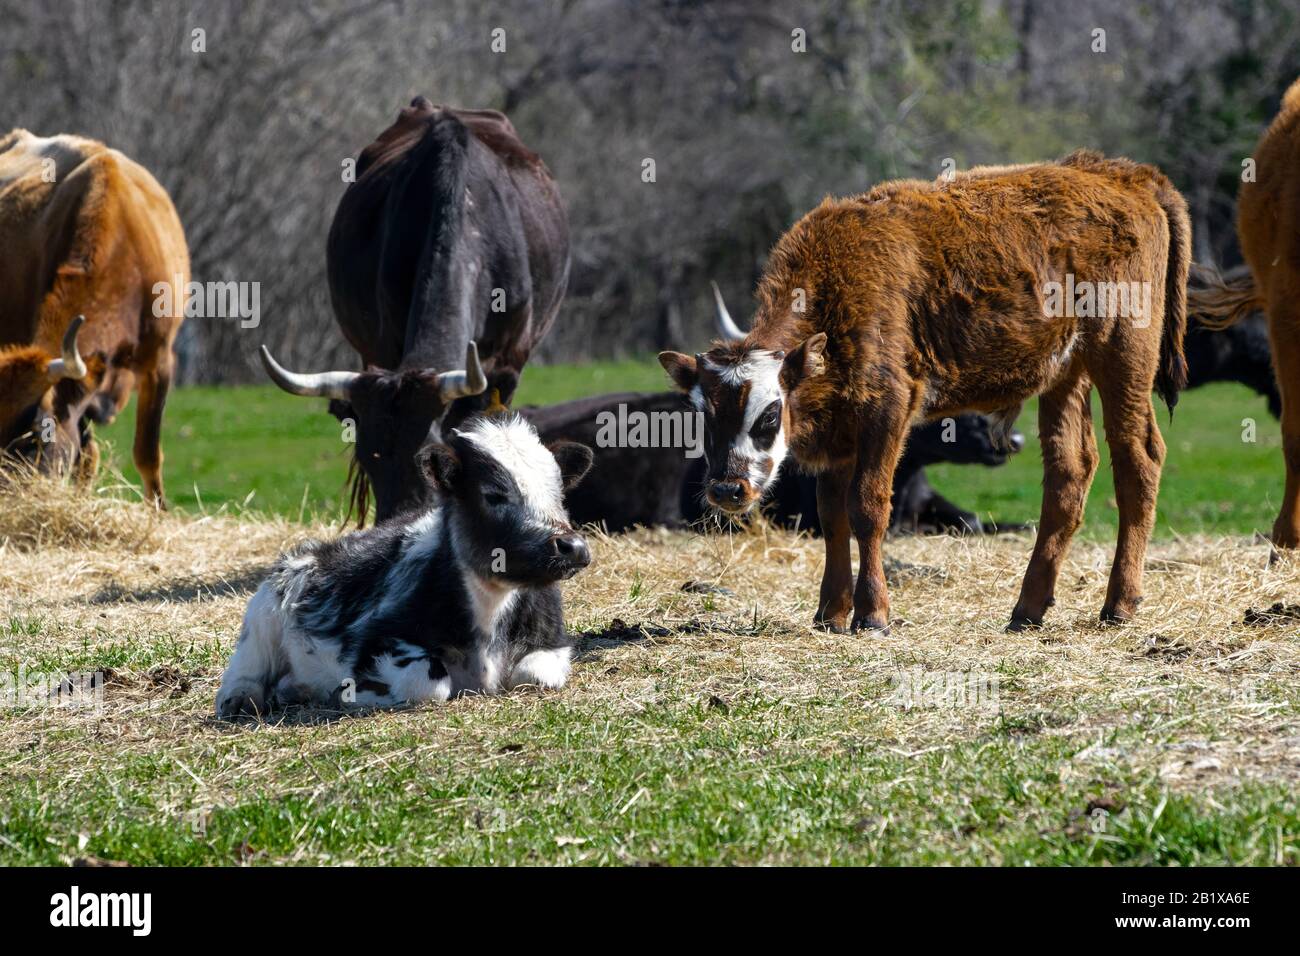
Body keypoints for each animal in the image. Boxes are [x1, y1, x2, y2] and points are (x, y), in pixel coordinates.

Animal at [216, 414, 594, 717]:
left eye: (559, 494)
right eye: (493, 495)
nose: (572, 547)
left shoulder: (554, 640)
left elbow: (533, 676)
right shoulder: (372, 643)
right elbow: (428, 682)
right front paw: (353, 693)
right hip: (264, 612)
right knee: (243, 671)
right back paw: (242, 698)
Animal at [659, 150, 1190, 634]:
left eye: (769, 414)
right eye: (703, 416)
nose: (728, 489)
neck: (837, 285)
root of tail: (1122, 174)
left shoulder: (887, 412)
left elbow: (868, 507)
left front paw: (872, 613)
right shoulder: (839, 434)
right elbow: (832, 514)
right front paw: (831, 612)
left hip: (1123, 355)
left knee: (1138, 460)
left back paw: (1119, 602)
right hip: (1065, 374)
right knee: (1070, 472)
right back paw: (1028, 608)